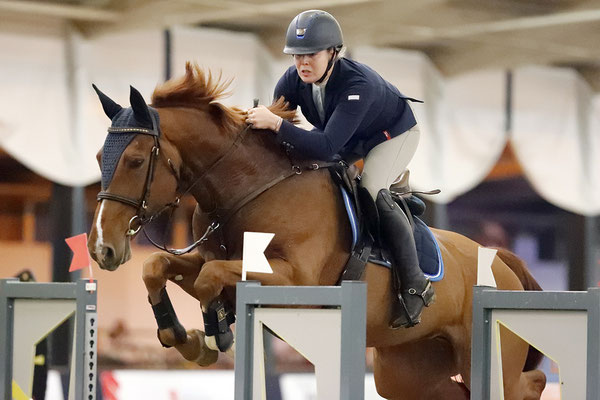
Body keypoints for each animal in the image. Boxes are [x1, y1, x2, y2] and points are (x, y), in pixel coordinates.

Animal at [86, 63, 548, 400]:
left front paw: (214, 333)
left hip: (487, 357)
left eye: (135, 160)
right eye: (97, 157)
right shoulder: (212, 257)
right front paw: (186, 338)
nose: (102, 249)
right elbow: (159, 266)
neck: (249, 187)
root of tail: (501, 261)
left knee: (527, 383)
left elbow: (208, 279)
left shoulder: (295, 279)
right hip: (407, 371)